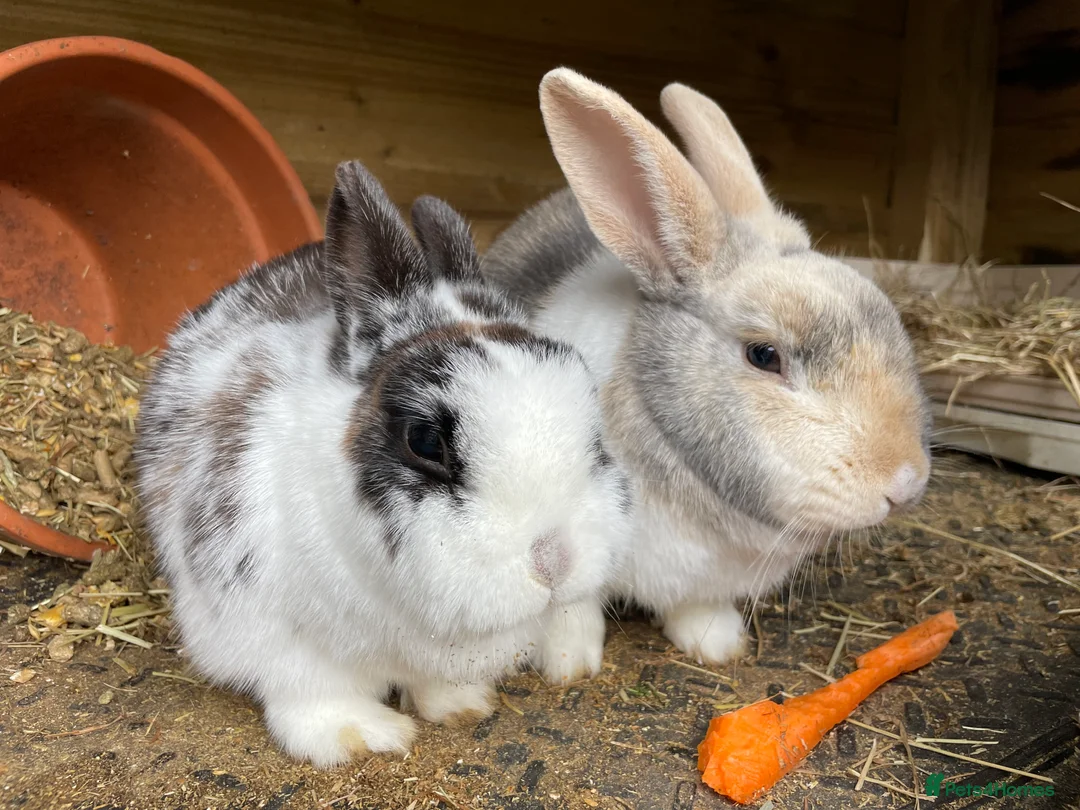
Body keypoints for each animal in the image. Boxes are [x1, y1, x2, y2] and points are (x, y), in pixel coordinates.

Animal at [134, 159, 632, 768]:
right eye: (425, 441)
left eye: (592, 415)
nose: (555, 562)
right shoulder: (265, 625)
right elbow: (313, 693)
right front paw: (362, 738)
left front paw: (462, 706)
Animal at [481, 68, 931, 666]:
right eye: (764, 355)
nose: (905, 483)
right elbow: (571, 607)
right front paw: (568, 663)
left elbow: (696, 607)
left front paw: (718, 644)